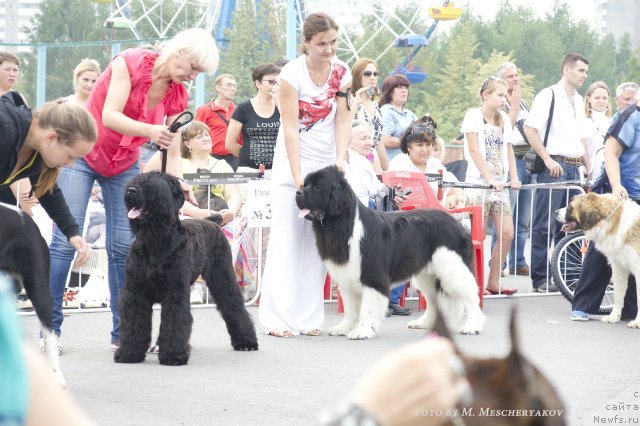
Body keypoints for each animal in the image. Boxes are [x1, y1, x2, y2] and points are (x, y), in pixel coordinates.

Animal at [115, 171, 258, 366]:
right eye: (137, 180)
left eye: (156, 183)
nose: (131, 190)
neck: (155, 240)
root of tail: (212, 222)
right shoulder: (136, 292)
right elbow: (134, 323)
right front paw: (129, 352)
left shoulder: (175, 292)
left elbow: (175, 321)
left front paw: (173, 356)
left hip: (222, 276)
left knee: (233, 304)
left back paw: (246, 342)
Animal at [296, 166, 484, 340]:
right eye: (305, 184)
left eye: (316, 187)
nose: (298, 192)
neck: (342, 224)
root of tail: (457, 224)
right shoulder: (346, 276)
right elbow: (350, 308)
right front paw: (343, 328)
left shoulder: (372, 276)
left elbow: (367, 308)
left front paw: (362, 331)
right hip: (428, 275)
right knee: (434, 301)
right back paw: (424, 323)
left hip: (452, 269)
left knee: (470, 295)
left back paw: (472, 326)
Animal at [556, 193, 640, 330]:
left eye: (570, 207)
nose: (555, 212)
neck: (613, 222)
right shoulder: (619, 268)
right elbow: (618, 295)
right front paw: (613, 317)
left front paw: (637, 322)